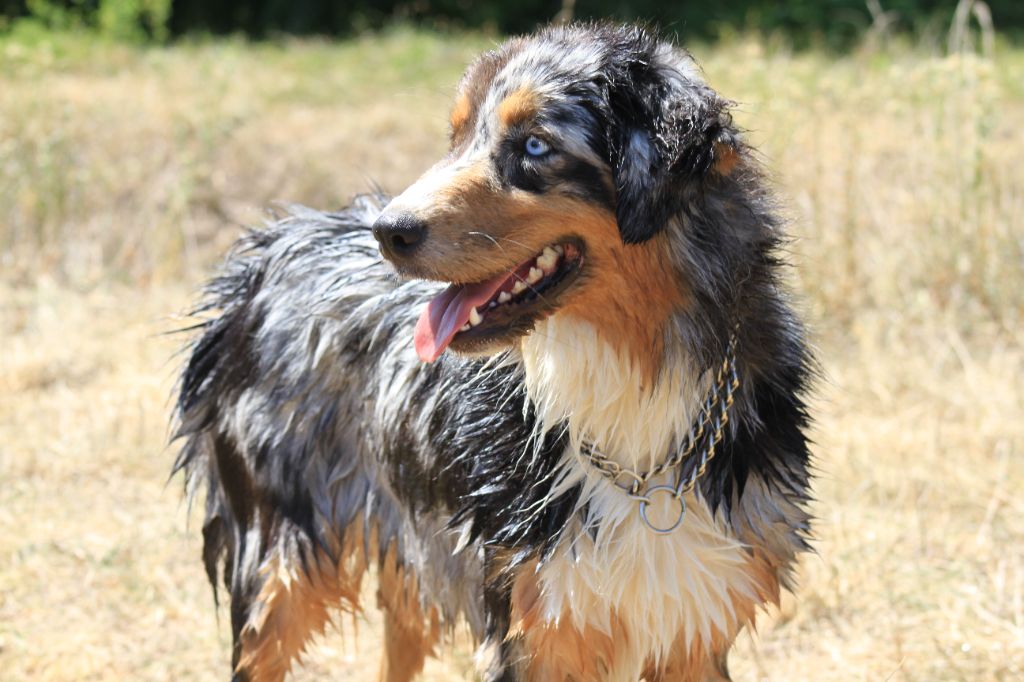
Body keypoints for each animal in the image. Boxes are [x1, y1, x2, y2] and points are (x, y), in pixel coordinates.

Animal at [176, 21, 815, 679]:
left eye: (534, 145)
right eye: (456, 137)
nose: (388, 231)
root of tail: (269, 245)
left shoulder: (696, 625)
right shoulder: (531, 626)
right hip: (277, 574)